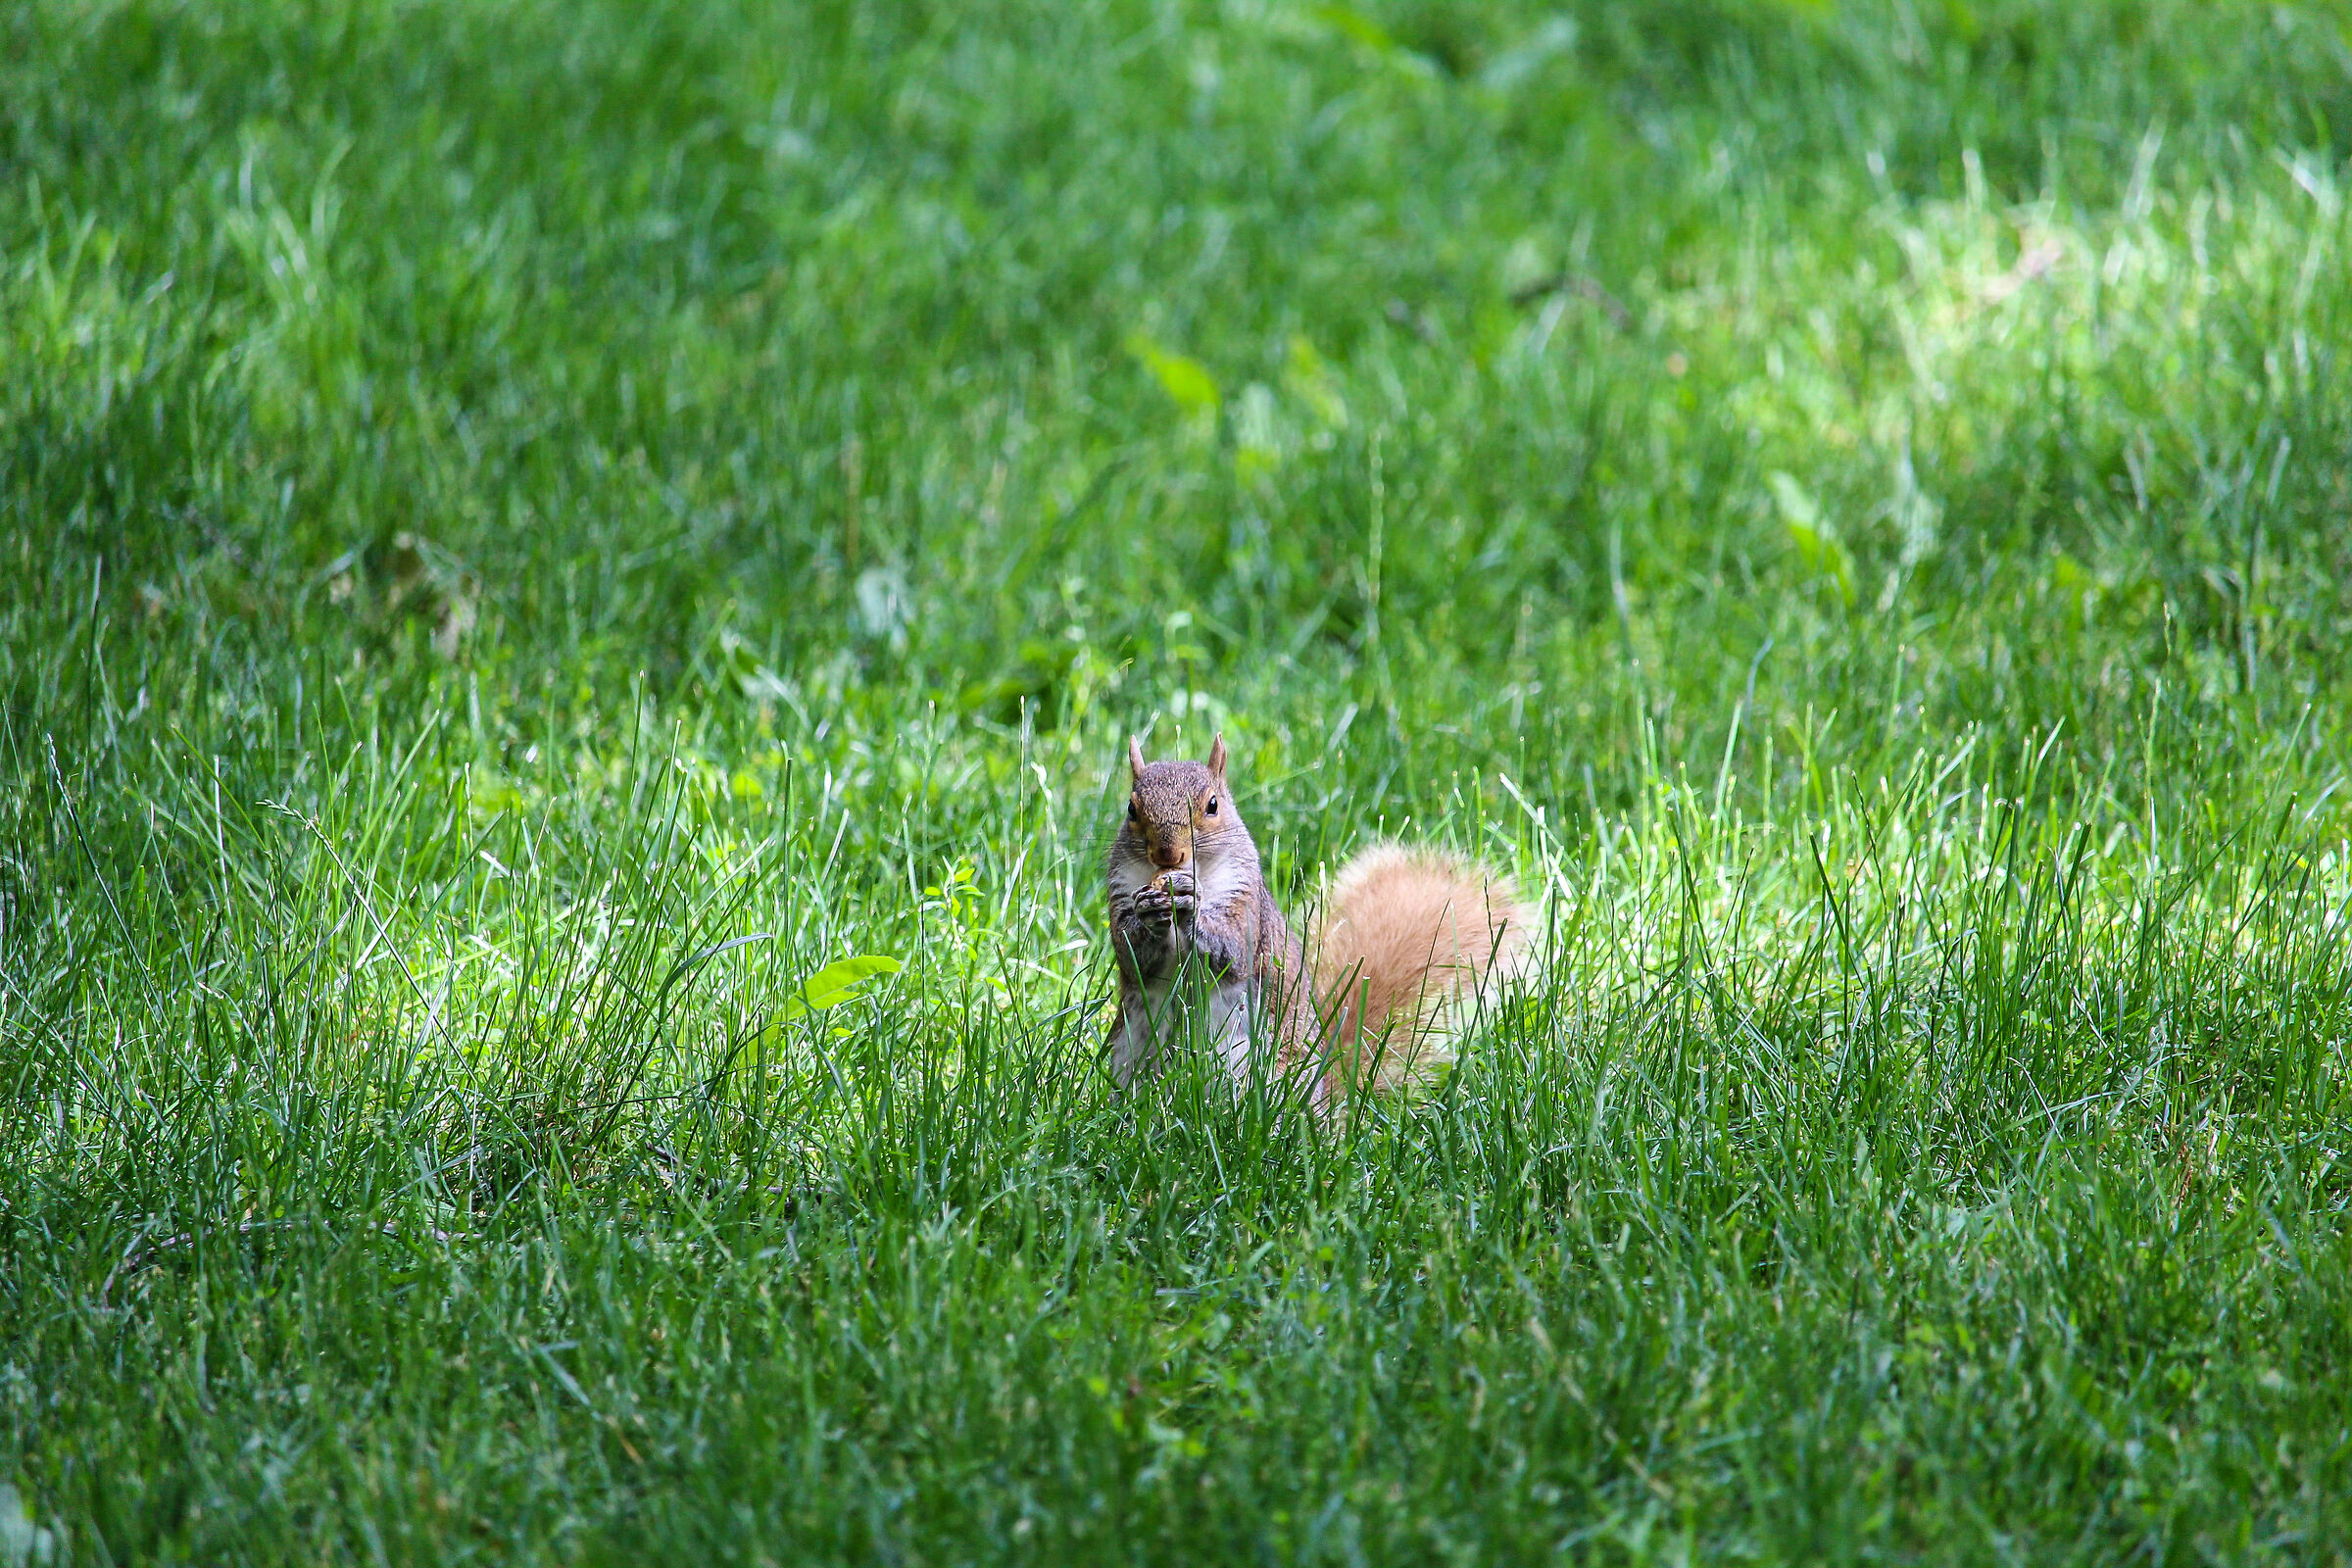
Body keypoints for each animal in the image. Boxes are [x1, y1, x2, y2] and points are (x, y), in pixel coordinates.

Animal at [1104, 733, 1529, 1111]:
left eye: (1212, 805)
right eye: (1131, 809)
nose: (1167, 854)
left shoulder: (1246, 902)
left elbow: (1235, 950)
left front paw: (1190, 907)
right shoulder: (1120, 895)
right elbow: (1133, 957)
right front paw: (1148, 913)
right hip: (1130, 1051)